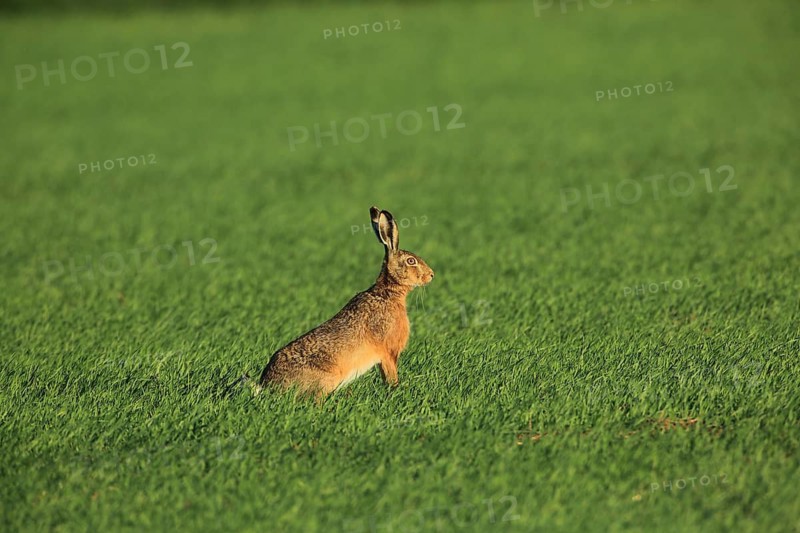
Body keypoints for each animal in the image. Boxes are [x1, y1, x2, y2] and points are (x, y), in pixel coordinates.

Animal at [258, 206, 434, 397]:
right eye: (411, 261)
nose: (431, 275)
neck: (387, 294)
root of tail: (267, 384)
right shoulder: (388, 353)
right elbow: (391, 375)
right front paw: (395, 390)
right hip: (327, 379)